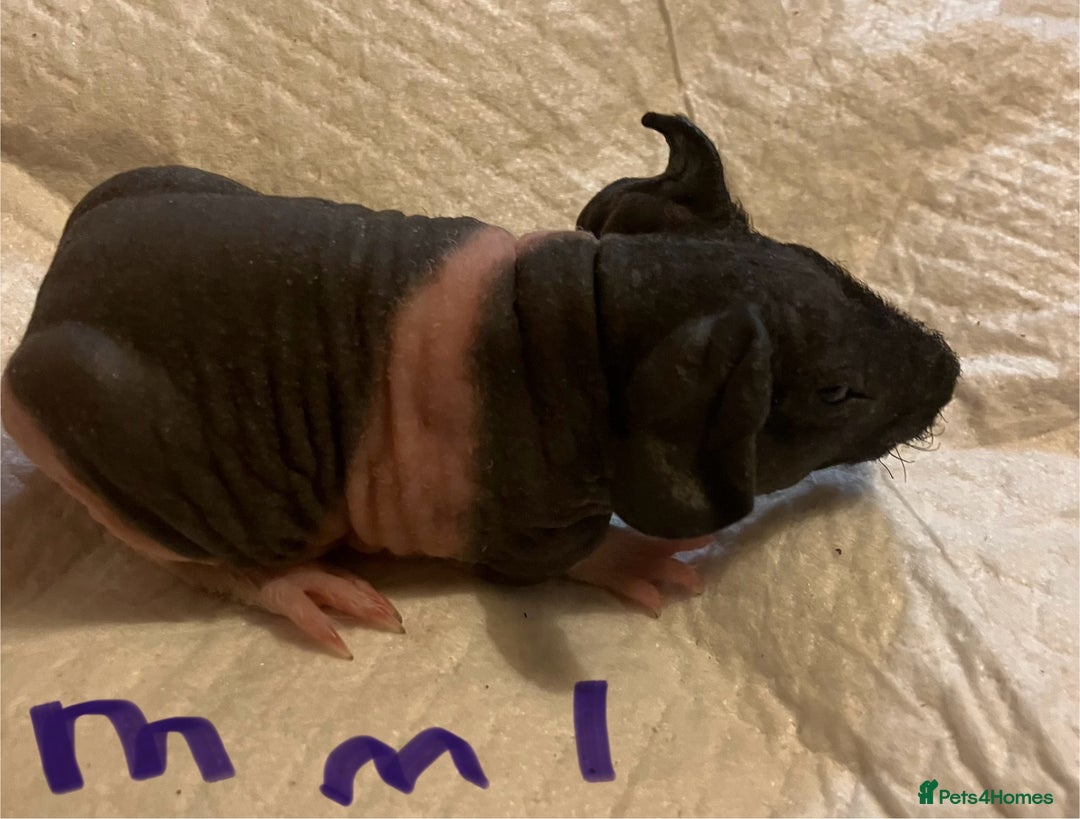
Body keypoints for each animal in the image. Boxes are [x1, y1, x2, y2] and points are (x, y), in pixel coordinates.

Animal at [1, 113, 960, 658]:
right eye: (837, 393)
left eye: (824, 264)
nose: (950, 369)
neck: (587, 315)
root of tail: (48, 307)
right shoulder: (517, 513)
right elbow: (556, 560)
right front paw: (650, 563)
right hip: (145, 453)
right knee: (209, 561)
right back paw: (317, 590)